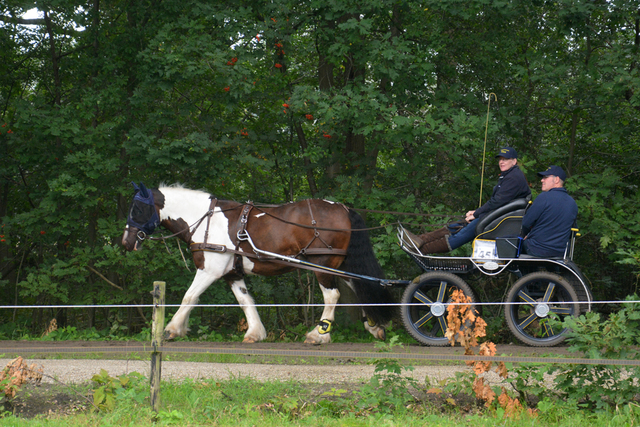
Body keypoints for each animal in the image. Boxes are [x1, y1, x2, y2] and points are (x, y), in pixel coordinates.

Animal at [121, 184, 396, 344]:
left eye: (137, 208)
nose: (126, 242)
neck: (205, 219)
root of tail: (343, 208)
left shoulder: (210, 269)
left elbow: (189, 297)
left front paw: (171, 329)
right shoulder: (232, 273)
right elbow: (245, 301)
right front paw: (255, 333)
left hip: (322, 264)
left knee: (333, 295)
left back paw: (318, 335)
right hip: (339, 264)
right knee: (359, 288)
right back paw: (374, 327)